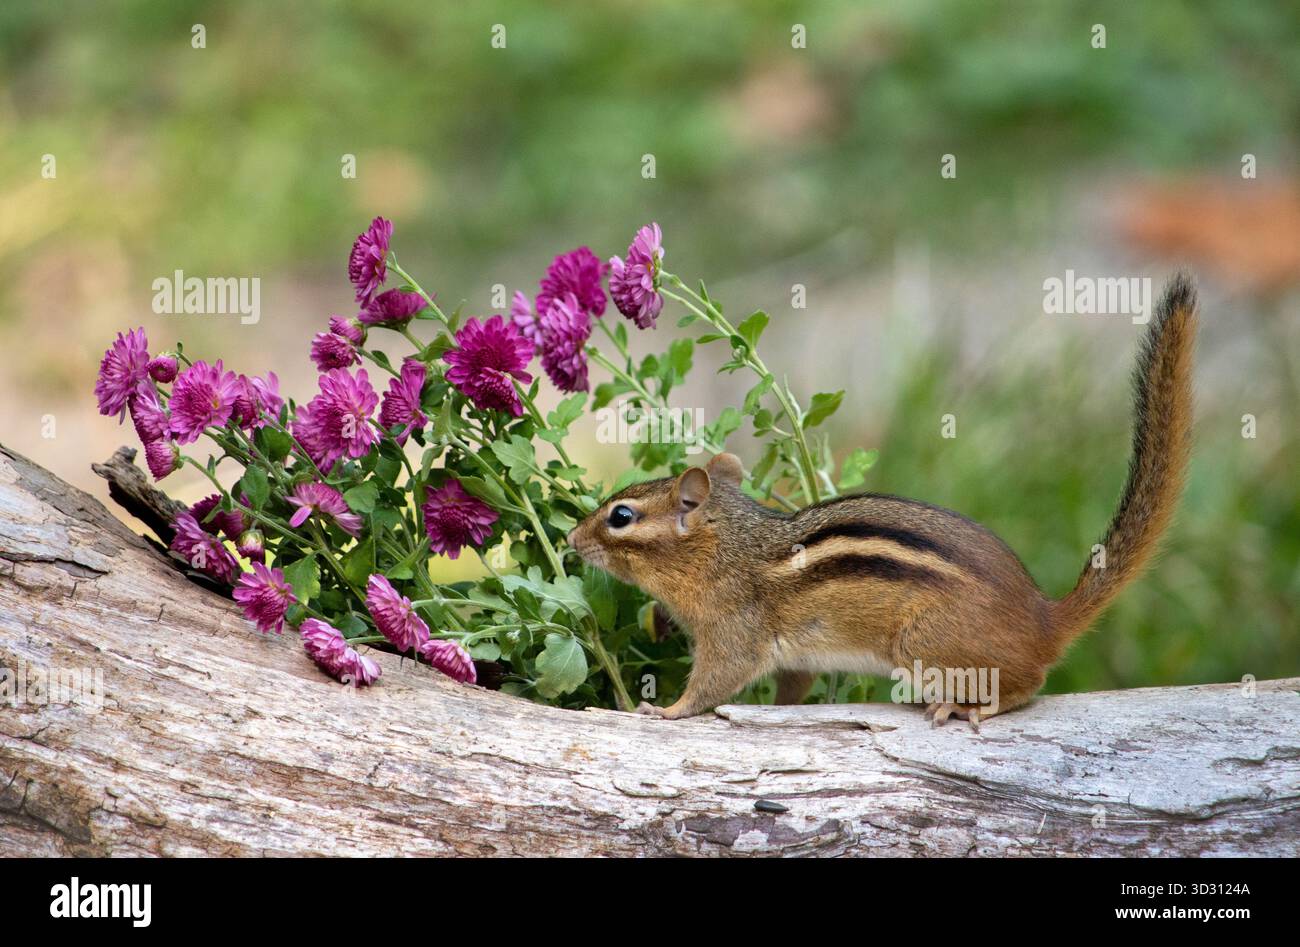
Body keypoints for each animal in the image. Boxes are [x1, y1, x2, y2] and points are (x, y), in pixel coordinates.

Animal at [568, 273, 1197, 727]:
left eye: (620, 516)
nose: (571, 539)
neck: (726, 551)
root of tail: (1045, 616)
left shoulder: (733, 633)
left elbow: (711, 684)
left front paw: (662, 709)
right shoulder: (794, 659)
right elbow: (790, 689)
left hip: (924, 643)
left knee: (1028, 686)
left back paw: (969, 705)